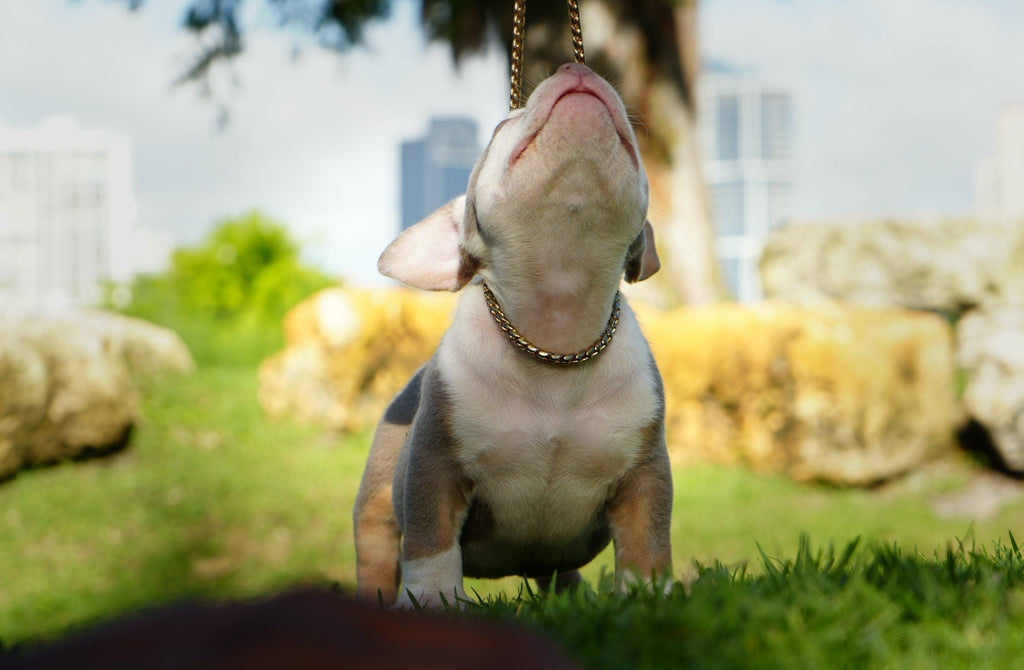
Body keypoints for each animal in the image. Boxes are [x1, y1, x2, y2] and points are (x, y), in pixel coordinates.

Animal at [352, 63, 671, 610]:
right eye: (504, 124)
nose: (577, 66)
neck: (555, 340)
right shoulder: (433, 465)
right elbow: (431, 541)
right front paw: (433, 601)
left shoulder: (646, 473)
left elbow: (648, 543)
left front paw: (651, 599)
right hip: (375, 502)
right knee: (376, 547)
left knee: (559, 574)